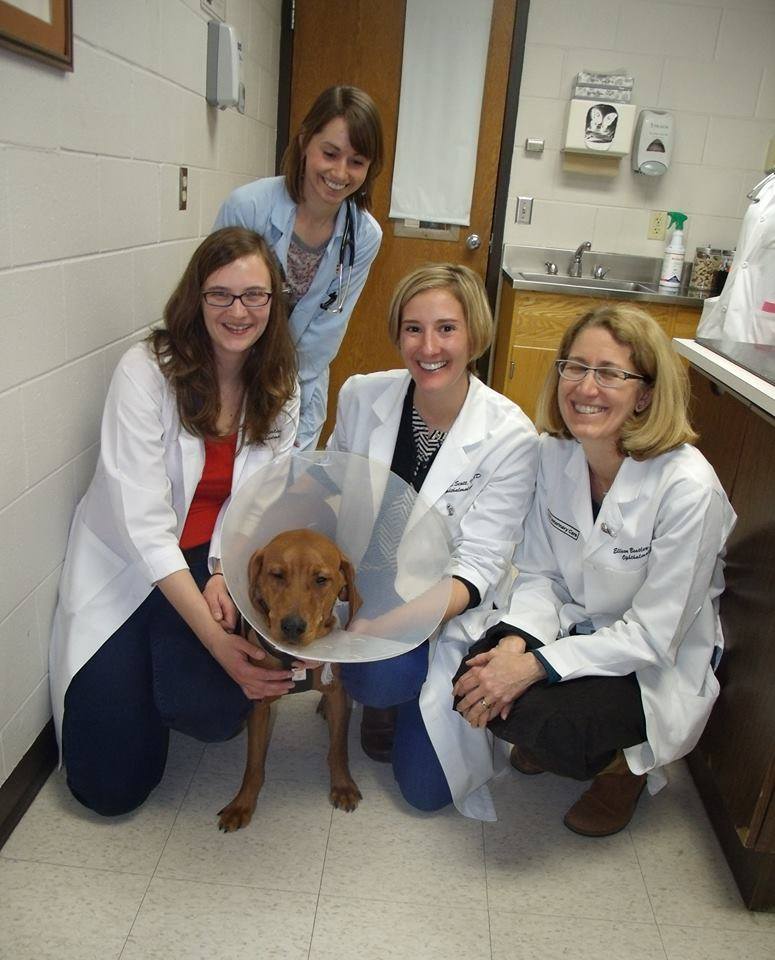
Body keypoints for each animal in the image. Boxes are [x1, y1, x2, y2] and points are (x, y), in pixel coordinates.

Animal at [218, 528, 364, 828]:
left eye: (321, 579)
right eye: (276, 574)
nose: (293, 627)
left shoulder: (336, 692)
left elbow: (338, 749)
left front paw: (342, 786)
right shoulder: (259, 703)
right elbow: (253, 763)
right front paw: (242, 803)